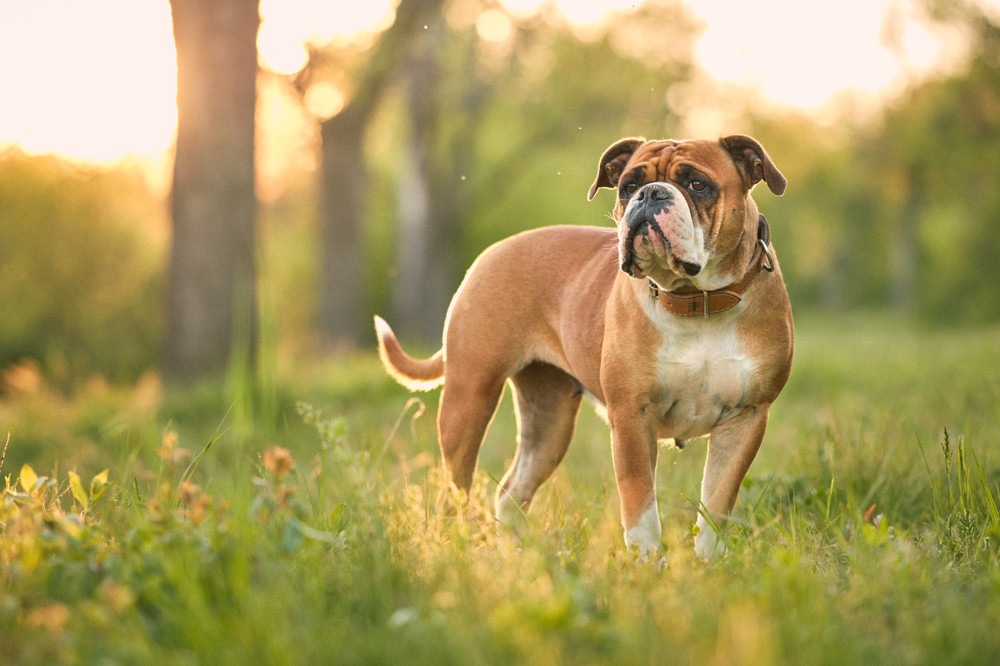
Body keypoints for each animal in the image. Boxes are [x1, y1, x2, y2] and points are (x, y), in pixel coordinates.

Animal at [372, 132, 792, 556]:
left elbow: (716, 505)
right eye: (628, 186)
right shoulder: (631, 418)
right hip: (468, 400)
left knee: (511, 492)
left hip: (549, 423)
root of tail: (492, 252)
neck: (696, 300)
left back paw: (515, 555)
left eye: (698, 185)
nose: (650, 194)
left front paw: (707, 563)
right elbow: (641, 506)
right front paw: (648, 563)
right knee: (455, 489)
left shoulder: (745, 419)